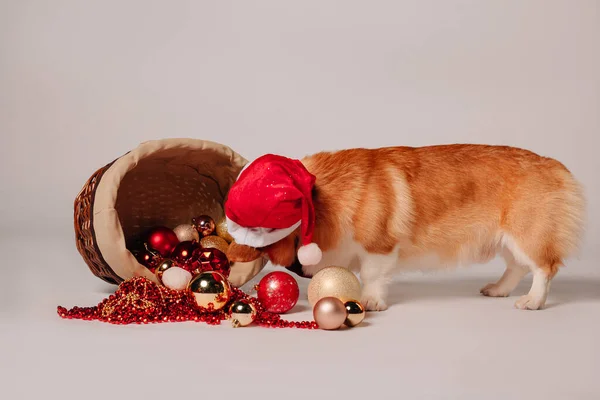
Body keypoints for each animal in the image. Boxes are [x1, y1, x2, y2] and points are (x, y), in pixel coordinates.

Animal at [225, 145, 584, 312]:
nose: (229, 275)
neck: (322, 198)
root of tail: (554, 165)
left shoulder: (379, 248)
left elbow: (372, 275)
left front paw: (371, 300)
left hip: (526, 234)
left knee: (543, 267)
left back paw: (533, 301)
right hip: (504, 239)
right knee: (516, 267)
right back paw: (498, 289)